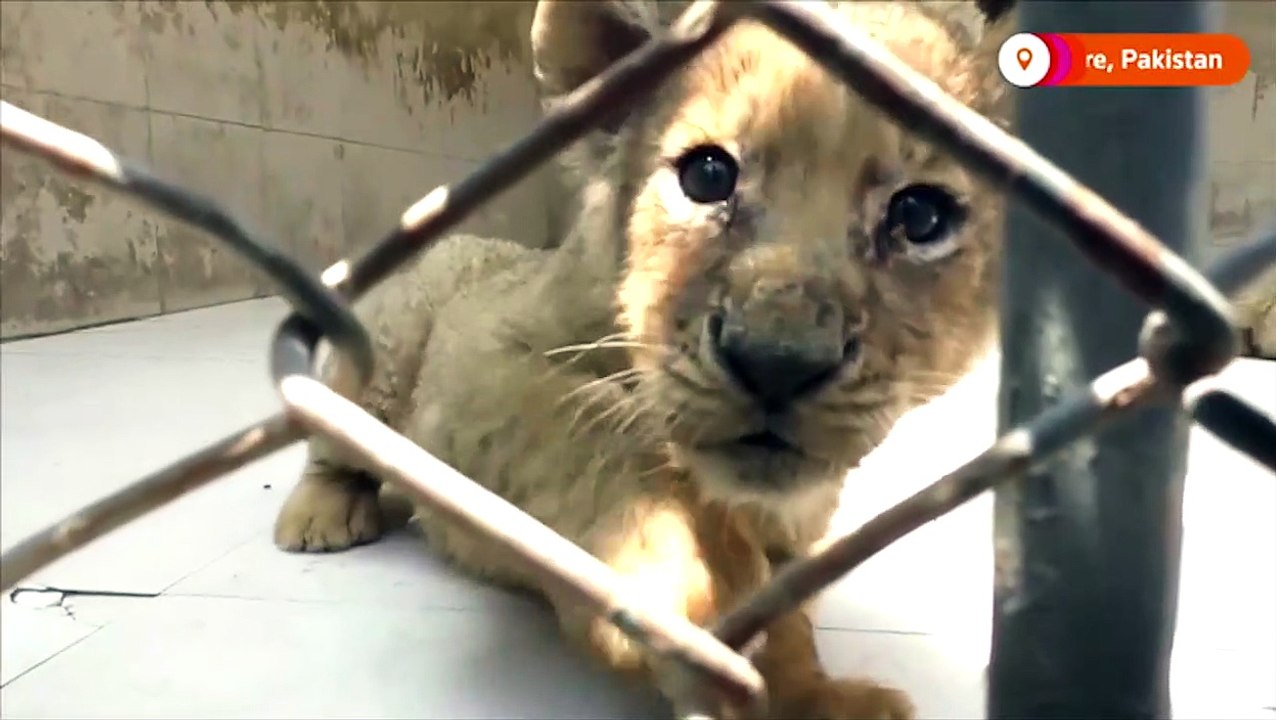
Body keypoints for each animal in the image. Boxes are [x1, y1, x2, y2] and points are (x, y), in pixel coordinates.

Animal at [273, 2, 1015, 717]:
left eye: (920, 217)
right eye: (708, 176)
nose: (777, 361)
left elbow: (791, 620)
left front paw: (817, 695)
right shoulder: (486, 361)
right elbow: (590, 427)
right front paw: (689, 585)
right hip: (386, 349)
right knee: (334, 441)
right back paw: (320, 519)